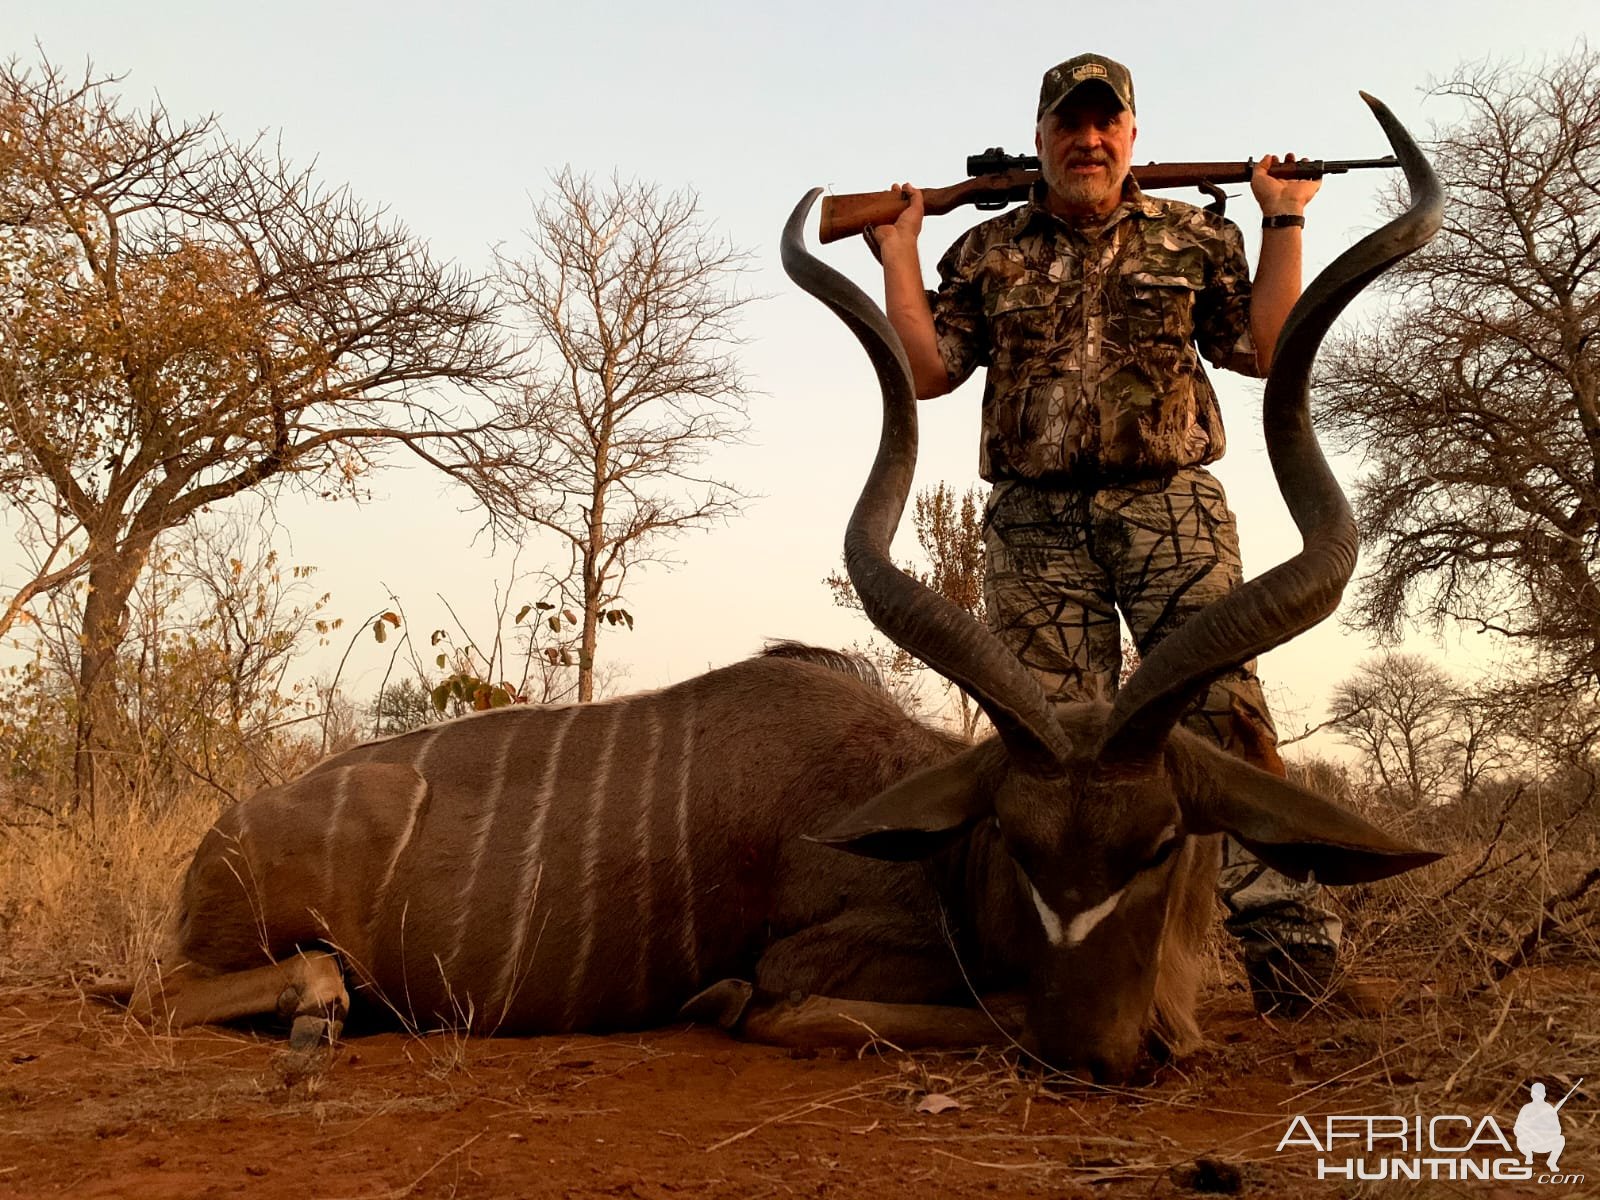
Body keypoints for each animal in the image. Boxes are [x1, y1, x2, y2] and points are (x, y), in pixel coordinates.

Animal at [118, 94, 1446, 1088]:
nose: (1101, 1052)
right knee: (161, 992)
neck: (944, 855)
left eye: (1164, 843)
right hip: (225, 951)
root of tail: (223, 838)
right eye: (1015, 840)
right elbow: (940, 1010)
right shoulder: (820, 978)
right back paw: (317, 1010)